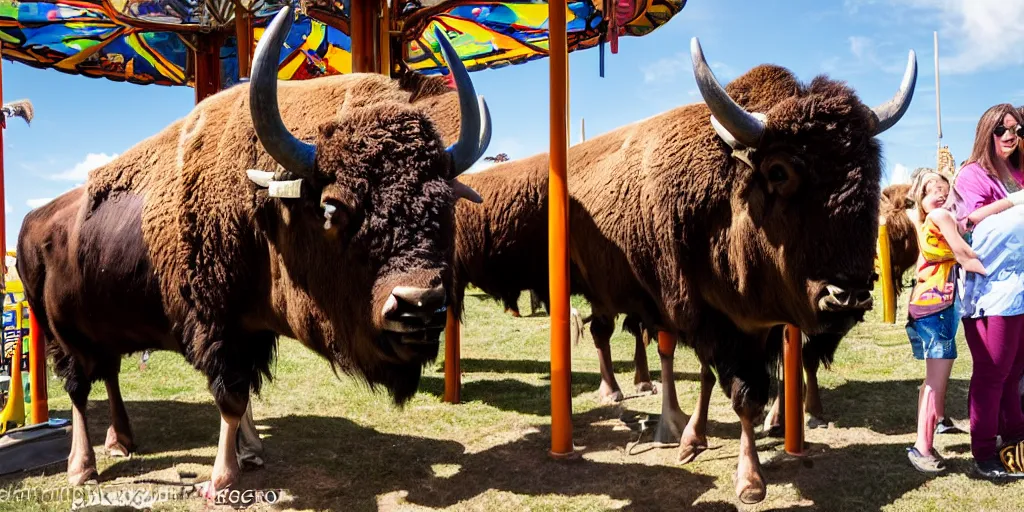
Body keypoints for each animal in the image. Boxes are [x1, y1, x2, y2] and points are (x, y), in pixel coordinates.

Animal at [14, 7, 491, 495]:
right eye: (331, 207)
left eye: (444, 203)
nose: (420, 304)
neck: (262, 210)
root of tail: (33, 222)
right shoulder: (218, 328)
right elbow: (231, 395)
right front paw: (223, 478)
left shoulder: (253, 333)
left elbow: (245, 397)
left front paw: (252, 451)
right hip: (56, 332)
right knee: (77, 387)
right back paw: (82, 467)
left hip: (105, 327)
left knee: (108, 374)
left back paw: (122, 441)